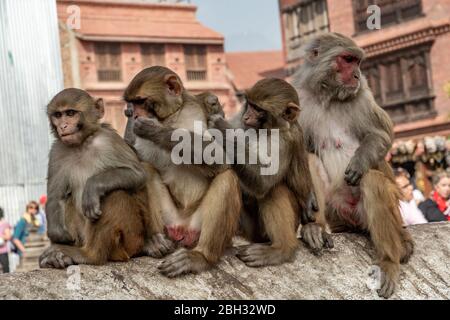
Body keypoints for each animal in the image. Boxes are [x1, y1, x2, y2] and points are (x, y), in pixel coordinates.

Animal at [39, 87, 167, 268]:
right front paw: (57, 236)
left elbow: (137, 174)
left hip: (130, 240)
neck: (82, 143)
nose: (63, 126)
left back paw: (89, 255)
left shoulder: (109, 140)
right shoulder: (57, 151)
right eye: (58, 115)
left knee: (115, 193)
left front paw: (92, 187)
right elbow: (56, 196)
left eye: (70, 113)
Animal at [123, 65, 243, 278]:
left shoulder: (207, 109)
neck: (171, 117)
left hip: (197, 227)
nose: (134, 115)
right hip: (169, 221)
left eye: (141, 102)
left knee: (227, 178)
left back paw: (201, 257)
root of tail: (183, 228)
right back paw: (154, 241)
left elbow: (221, 157)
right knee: (146, 170)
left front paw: (156, 132)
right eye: (132, 104)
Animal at [206, 79, 332, 266]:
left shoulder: (287, 140)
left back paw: (283, 248)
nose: (246, 117)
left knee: (274, 189)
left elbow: (263, 182)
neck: (268, 130)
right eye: (250, 105)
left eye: (259, 109)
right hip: (251, 229)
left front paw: (221, 128)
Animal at [294, 32, 414, 298]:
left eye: (358, 62)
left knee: (373, 181)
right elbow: (299, 151)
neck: (327, 96)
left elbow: (380, 134)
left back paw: (389, 261)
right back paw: (316, 228)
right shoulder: (298, 99)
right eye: (347, 60)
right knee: (312, 161)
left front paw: (359, 163)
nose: (358, 75)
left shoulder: (363, 95)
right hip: (335, 209)